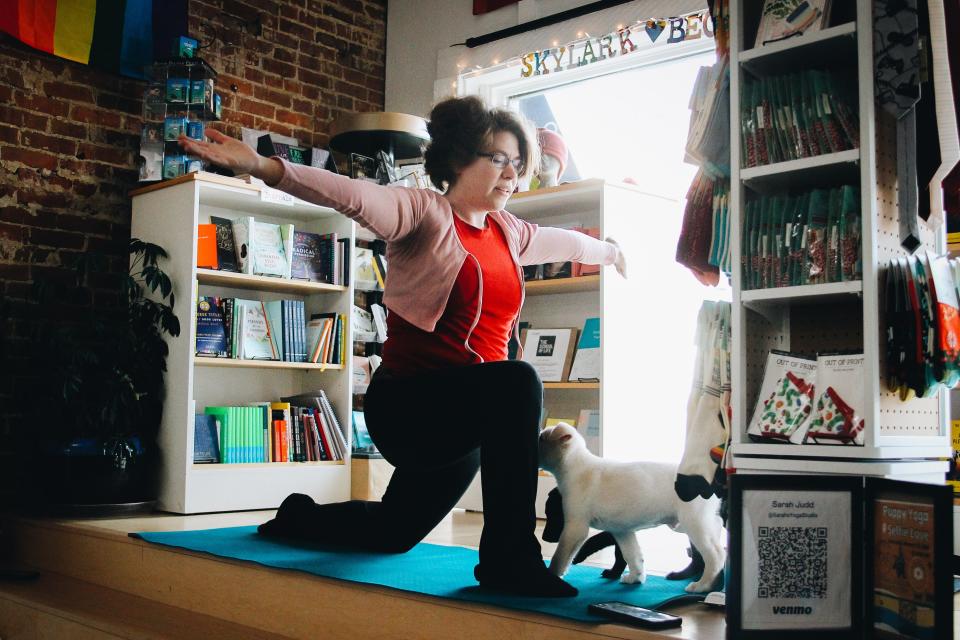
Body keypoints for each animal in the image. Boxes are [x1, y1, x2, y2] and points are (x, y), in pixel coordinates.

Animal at [536, 422, 724, 592]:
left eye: (541, 438)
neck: (574, 464)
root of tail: (706, 483)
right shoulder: (622, 531)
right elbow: (632, 555)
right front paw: (636, 577)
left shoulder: (575, 527)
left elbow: (560, 556)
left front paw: (553, 576)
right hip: (696, 524)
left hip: (694, 523)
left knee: (716, 555)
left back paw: (703, 585)